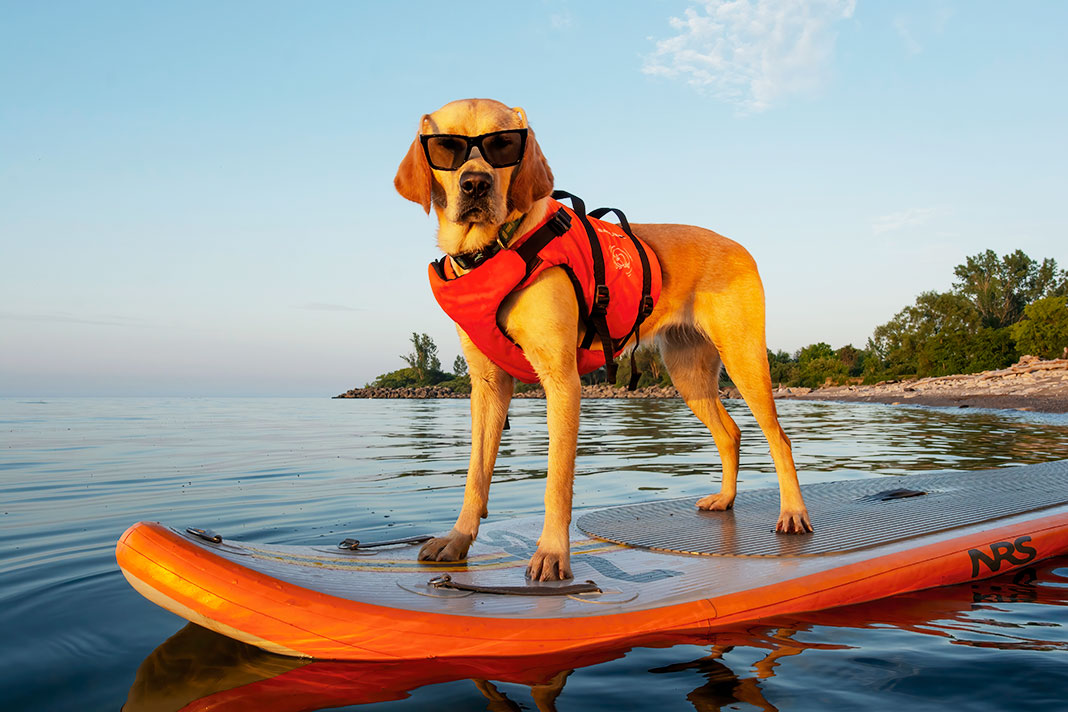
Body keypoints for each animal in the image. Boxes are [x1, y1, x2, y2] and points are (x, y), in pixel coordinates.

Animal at [393, 97, 807, 580]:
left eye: (503, 145)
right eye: (446, 147)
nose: (475, 184)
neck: (497, 248)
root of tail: (741, 247)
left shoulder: (562, 381)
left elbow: (557, 482)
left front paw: (552, 553)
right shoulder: (489, 385)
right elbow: (475, 476)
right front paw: (458, 539)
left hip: (744, 357)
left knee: (779, 437)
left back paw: (793, 513)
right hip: (689, 373)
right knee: (730, 433)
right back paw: (725, 498)